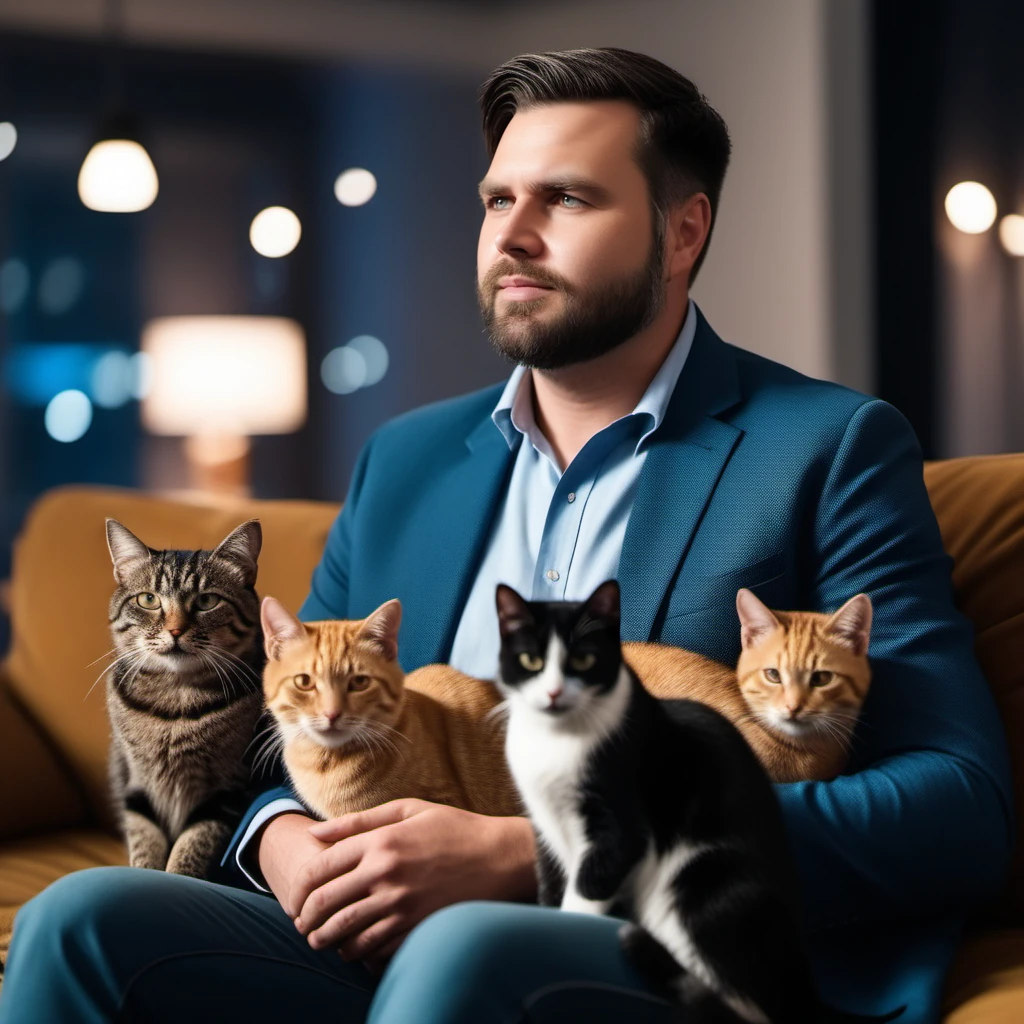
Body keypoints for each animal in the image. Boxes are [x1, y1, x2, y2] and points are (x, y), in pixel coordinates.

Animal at [102, 520, 264, 880]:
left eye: (207, 601)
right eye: (148, 599)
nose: (175, 631)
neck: (174, 704)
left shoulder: (226, 791)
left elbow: (191, 849)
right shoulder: (136, 785)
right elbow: (145, 843)